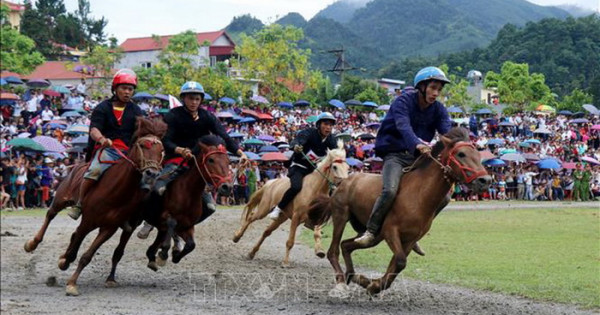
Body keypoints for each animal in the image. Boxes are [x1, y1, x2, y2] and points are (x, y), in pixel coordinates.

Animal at [23, 117, 168, 298]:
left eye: (161, 150)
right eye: (142, 145)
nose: (151, 173)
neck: (117, 191)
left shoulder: (109, 228)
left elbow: (89, 255)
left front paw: (74, 280)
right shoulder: (88, 221)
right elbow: (77, 244)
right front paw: (68, 272)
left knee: (75, 234)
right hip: (61, 198)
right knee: (50, 215)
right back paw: (33, 243)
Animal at [142, 134, 233, 272]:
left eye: (228, 161)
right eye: (211, 160)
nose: (226, 187)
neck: (188, 193)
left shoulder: (187, 227)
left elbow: (191, 245)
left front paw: (175, 255)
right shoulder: (165, 217)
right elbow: (172, 222)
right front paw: (164, 254)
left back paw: (153, 255)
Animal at [308, 127, 490, 298]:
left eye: (478, 154)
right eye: (461, 154)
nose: (485, 180)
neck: (419, 194)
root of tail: (342, 182)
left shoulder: (409, 239)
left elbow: (395, 266)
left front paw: (371, 284)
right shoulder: (391, 232)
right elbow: (401, 262)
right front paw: (373, 285)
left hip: (372, 235)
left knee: (346, 245)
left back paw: (354, 276)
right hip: (341, 216)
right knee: (333, 251)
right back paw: (341, 282)